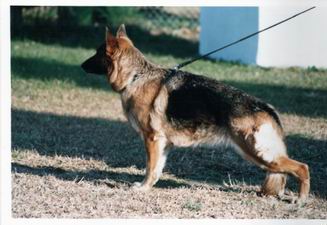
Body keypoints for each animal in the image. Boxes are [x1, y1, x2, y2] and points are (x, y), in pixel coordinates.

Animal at [81, 25, 310, 204]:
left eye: (97, 53)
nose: (81, 65)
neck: (135, 76)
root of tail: (267, 108)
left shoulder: (152, 140)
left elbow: (150, 168)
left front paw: (143, 189)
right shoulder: (162, 144)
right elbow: (156, 169)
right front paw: (149, 186)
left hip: (257, 152)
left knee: (302, 167)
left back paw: (301, 199)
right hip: (260, 154)